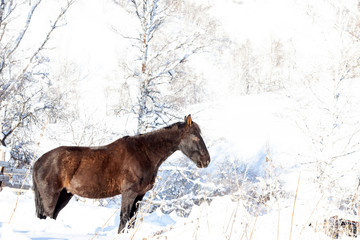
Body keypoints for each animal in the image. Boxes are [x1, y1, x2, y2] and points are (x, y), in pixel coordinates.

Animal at [33, 115, 211, 233]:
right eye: (194, 137)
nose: (206, 160)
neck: (144, 153)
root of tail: (38, 161)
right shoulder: (129, 192)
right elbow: (124, 217)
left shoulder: (140, 194)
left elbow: (131, 220)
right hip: (51, 196)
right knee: (48, 214)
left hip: (65, 195)